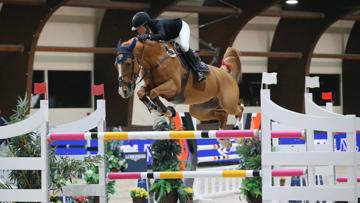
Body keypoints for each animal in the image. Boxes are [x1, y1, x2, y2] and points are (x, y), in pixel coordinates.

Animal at [116, 37, 245, 140]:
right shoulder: (150, 85)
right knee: (223, 114)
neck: (157, 60)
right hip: (200, 110)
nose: (123, 91)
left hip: (228, 103)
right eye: (115, 65)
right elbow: (142, 92)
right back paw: (223, 138)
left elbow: (153, 92)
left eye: (128, 63)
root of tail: (226, 73)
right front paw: (156, 108)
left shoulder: (174, 87)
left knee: (239, 108)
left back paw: (237, 127)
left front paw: (164, 110)